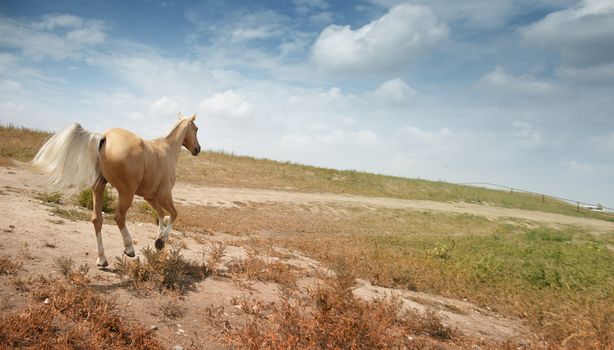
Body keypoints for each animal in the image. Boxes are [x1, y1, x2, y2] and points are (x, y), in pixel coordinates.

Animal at [31, 113, 201, 266]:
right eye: (196, 129)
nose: (197, 149)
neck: (167, 150)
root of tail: (104, 136)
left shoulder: (150, 197)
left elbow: (161, 215)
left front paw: (159, 239)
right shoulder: (164, 195)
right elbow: (173, 214)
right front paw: (161, 241)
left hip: (99, 187)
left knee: (97, 219)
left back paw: (102, 260)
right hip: (127, 192)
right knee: (119, 216)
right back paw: (129, 249)